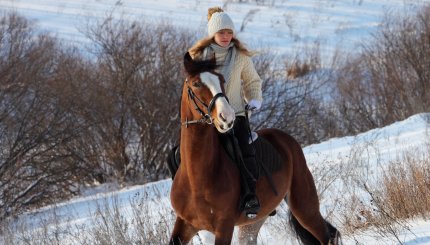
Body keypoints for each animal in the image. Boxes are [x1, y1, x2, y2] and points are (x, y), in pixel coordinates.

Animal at [170, 52, 340, 244]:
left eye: (221, 80)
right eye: (196, 84)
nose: (226, 117)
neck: (197, 178)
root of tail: (287, 139)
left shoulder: (224, 226)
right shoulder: (187, 224)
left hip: (304, 206)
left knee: (326, 235)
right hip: (253, 222)